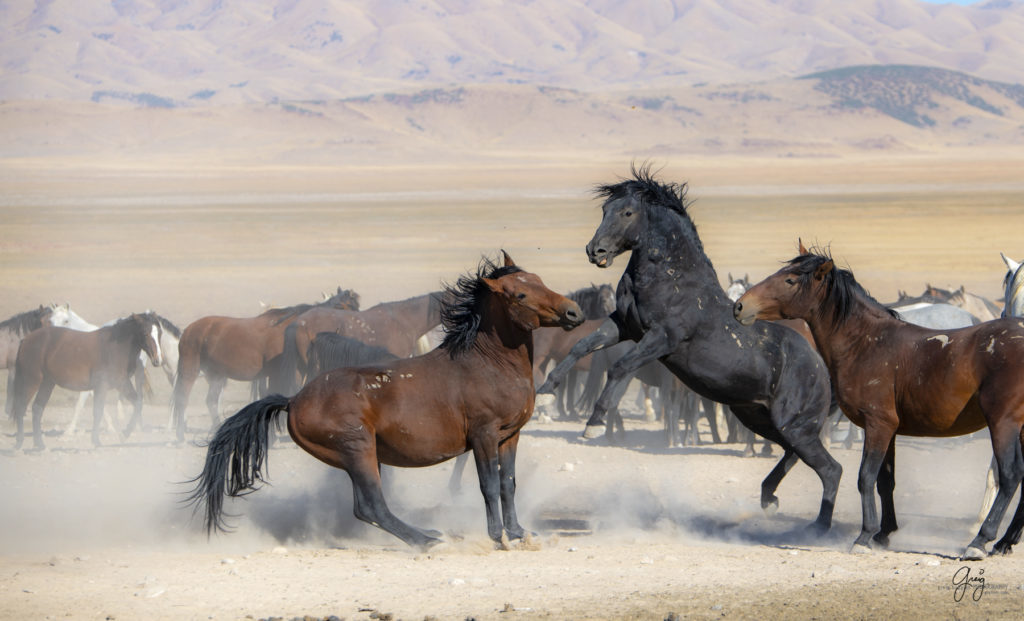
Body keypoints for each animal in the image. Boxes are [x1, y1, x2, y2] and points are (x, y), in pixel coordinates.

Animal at [169, 288, 358, 440]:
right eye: (346, 308)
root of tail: (188, 330)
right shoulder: (278, 374)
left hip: (216, 375)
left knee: (211, 401)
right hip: (190, 370)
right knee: (182, 399)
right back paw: (180, 437)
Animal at [536, 167, 839, 536]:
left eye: (627, 212)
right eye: (605, 210)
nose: (596, 251)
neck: (672, 277)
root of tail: (820, 367)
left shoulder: (661, 339)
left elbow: (620, 367)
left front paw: (593, 423)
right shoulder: (624, 325)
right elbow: (583, 345)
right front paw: (545, 393)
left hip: (792, 424)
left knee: (829, 469)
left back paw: (818, 528)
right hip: (761, 418)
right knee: (793, 454)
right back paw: (769, 497)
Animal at [733, 245, 1024, 561]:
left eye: (790, 280)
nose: (740, 306)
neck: (867, 343)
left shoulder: (877, 425)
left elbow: (865, 477)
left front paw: (864, 535)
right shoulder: (889, 430)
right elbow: (885, 481)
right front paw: (884, 533)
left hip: (1003, 424)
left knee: (1010, 476)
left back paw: (981, 541)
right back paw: (1005, 541)